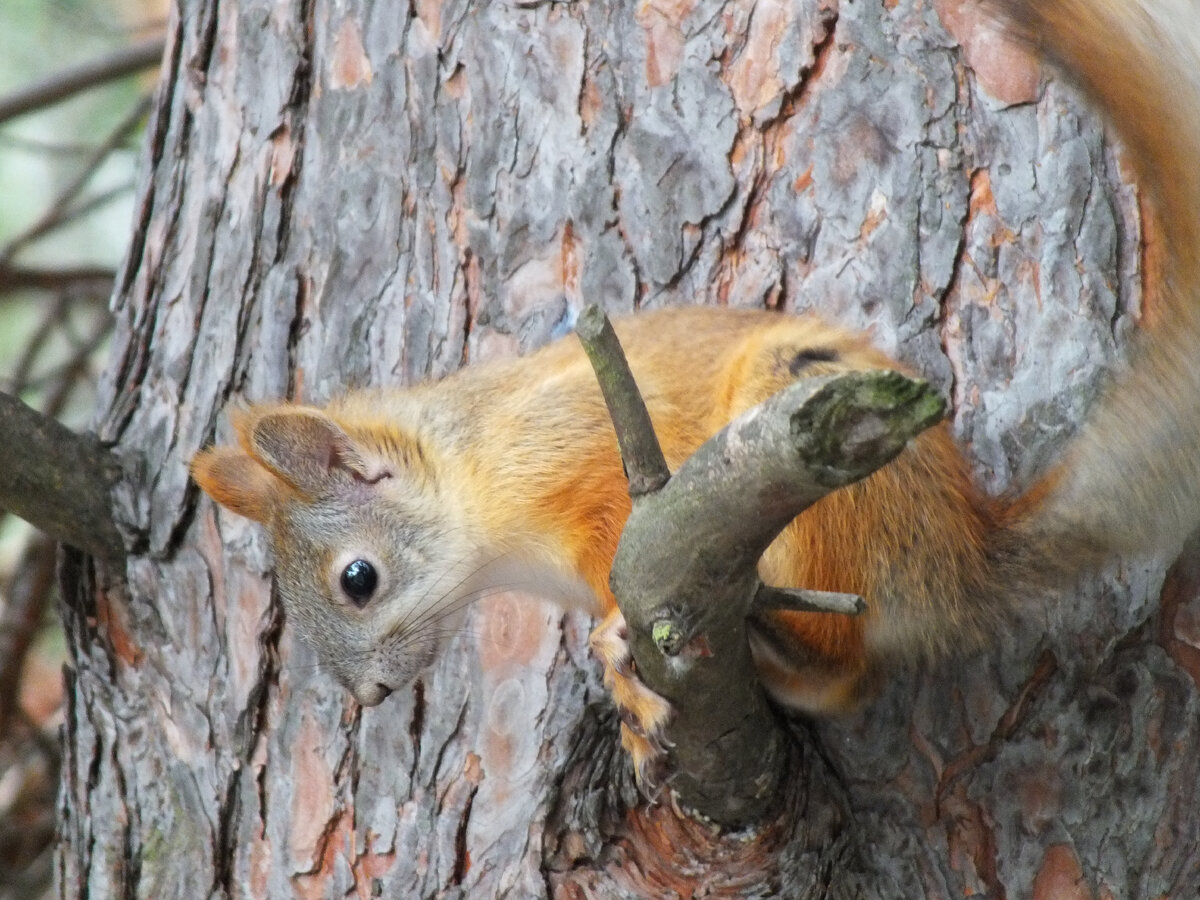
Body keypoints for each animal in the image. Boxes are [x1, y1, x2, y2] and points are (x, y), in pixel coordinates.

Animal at [192, 0, 1200, 777]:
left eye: (357, 580)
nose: (365, 694)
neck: (482, 488)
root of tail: (961, 552)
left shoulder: (581, 450)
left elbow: (618, 545)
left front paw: (615, 649)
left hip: (823, 486)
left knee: (845, 664)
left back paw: (782, 645)